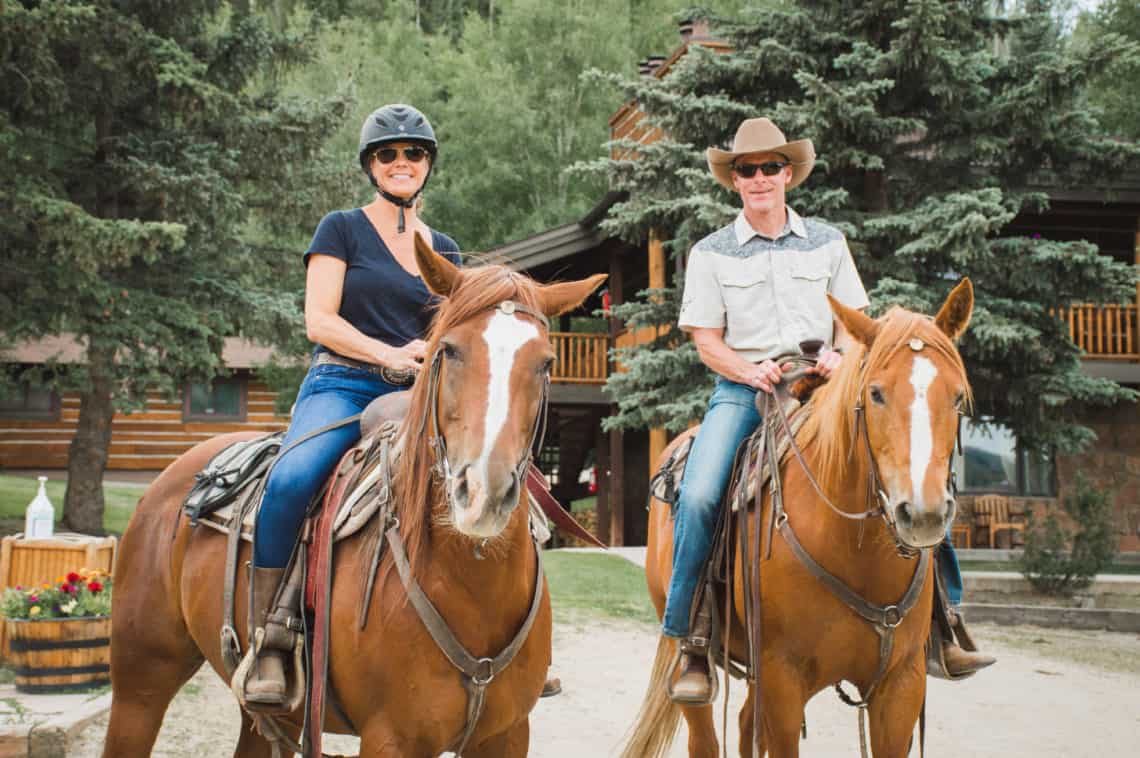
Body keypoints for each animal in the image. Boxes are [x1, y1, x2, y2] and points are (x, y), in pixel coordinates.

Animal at [102, 234, 611, 752]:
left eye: (546, 363)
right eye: (449, 350)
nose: (484, 492)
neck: (471, 585)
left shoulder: (507, 736)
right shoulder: (392, 738)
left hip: (270, 717)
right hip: (141, 682)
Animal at [624, 279, 971, 756]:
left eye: (957, 397)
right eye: (876, 393)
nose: (923, 514)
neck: (856, 551)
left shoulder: (901, 685)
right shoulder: (782, 680)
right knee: (705, 735)